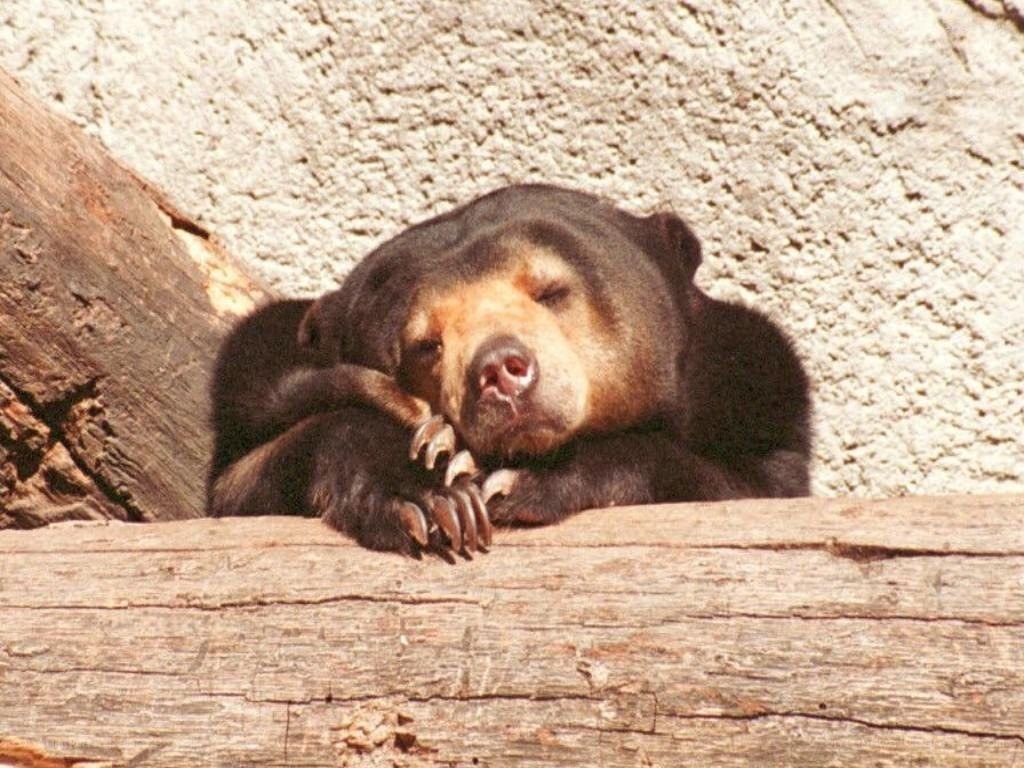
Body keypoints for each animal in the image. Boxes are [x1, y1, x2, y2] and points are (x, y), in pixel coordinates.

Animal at [207, 184, 812, 559]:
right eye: (425, 345)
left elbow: (746, 485)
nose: (500, 369)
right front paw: (435, 488)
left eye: (551, 291)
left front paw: (516, 479)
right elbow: (243, 483)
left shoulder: (752, 390)